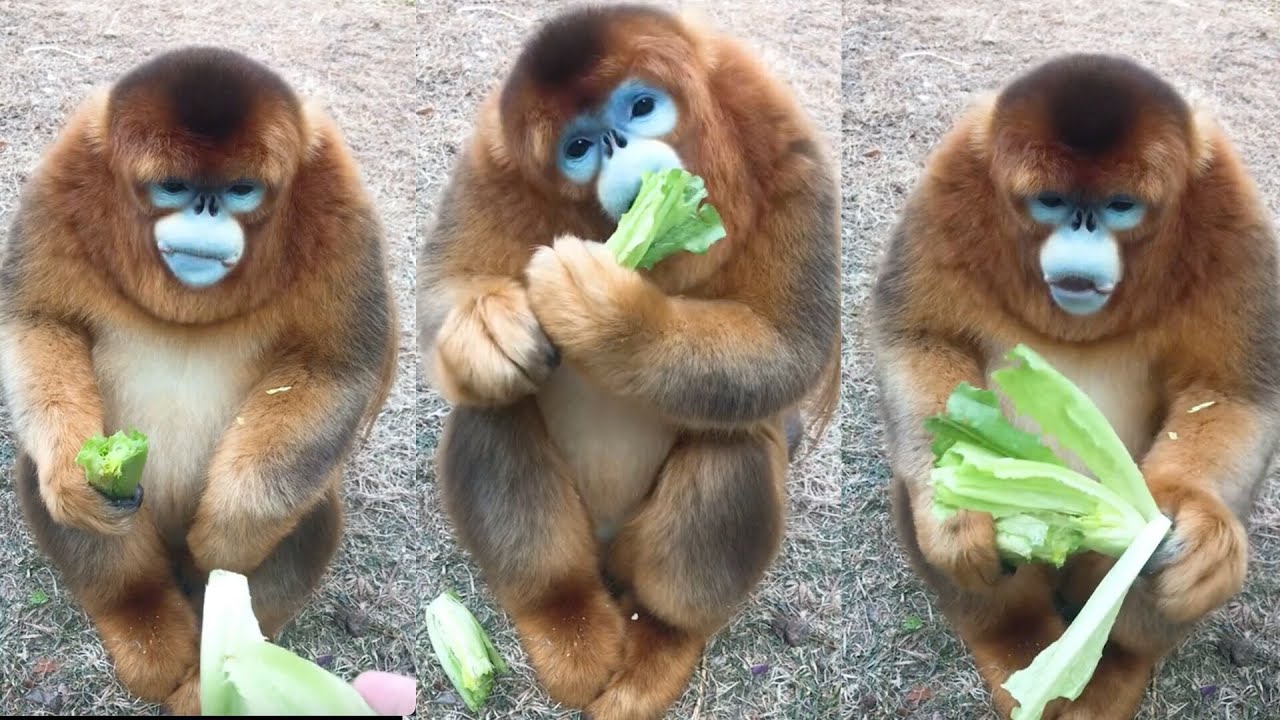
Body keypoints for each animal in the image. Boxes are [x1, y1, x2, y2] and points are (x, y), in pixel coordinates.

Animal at [0, 46, 397, 714]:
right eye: (174, 187)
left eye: (240, 190)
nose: (205, 208)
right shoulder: (63, 179)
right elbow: (36, 320)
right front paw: (76, 475)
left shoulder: (340, 203)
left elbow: (336, 365)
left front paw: (233, 528)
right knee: (49, 482)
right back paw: (144, 625)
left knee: (310, 507)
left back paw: (223, 672)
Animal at [417, 5, 840, 718]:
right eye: (578, 148)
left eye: (641, 107)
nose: (616, 145)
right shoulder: (490, 161)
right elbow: (442, 294)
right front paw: (488, 330)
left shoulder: (786, 144)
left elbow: (791, 343)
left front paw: (609, 312)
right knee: (494, 407)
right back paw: (564, 619)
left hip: (639, 547)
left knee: (730, 450)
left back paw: (659, 647)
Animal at [869, 53, 1280, 720]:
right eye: (1052, 200)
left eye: (1120, 205)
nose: (1083, 230)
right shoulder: (949, 185)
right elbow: (918, 338)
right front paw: (958, 510)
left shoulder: (1231, 213)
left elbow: (1234, 391)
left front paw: (1198, 530)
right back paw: (1017, 648)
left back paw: (1113, 667)